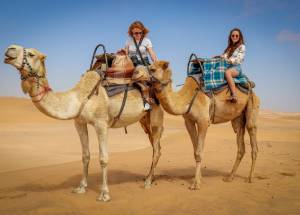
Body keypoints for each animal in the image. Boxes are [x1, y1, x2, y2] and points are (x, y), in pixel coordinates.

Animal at [3, 44, 164, 201]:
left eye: (31, 54)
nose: (9, 49)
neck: (79, 97)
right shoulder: (79, 123)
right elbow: (85, 156)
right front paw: (81, 187)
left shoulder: (101, 123)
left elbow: (103, 158)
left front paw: (104, 194)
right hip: (144, 120)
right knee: (156, 147)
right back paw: (149, 178)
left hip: (156, 115)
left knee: (156, 149)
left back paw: (148, 182)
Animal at [144, 61, 258, 190]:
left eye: (152, 69)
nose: (137, 74)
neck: (186, 98)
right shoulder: (188, 121)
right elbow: (195, 151)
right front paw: (199, 179)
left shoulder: (203, 121)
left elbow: (199, 152)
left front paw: (196, 184)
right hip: (238, 118)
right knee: (240, 143)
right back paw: (229, 177)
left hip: (252, 106)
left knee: (252, 135)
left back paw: (250, 178)